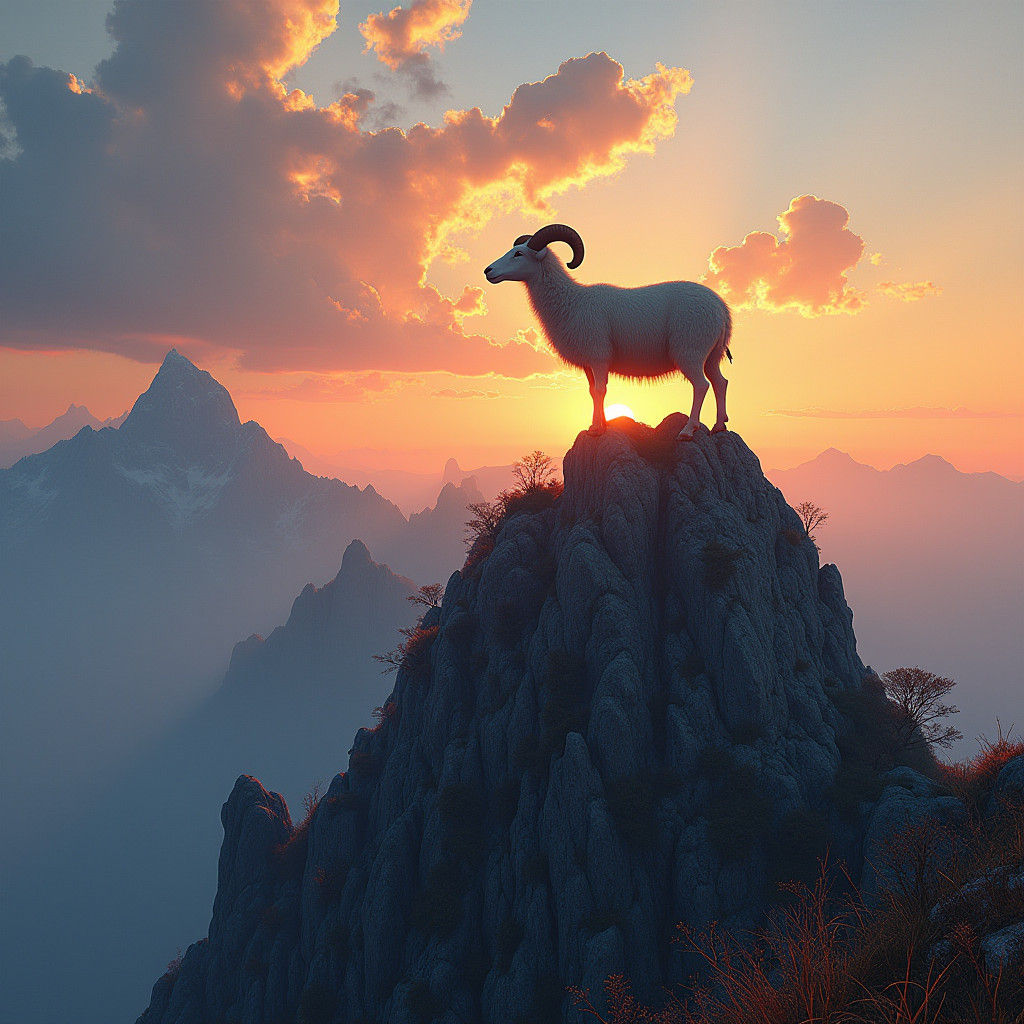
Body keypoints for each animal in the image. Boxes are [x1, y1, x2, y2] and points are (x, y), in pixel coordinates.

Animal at [484, 223, 733, 440]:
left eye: (518, 254)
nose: (488, 270)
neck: (571, 301)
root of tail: (721, 307)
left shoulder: (599, 356)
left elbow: (600, 390)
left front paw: (596, 429)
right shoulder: (588, 362)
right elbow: (592, 391)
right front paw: (600, 425)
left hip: (690, 351)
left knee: (701, 385)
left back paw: (688, 431)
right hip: (712, 355)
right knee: (721, 382)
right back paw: (719, 426)